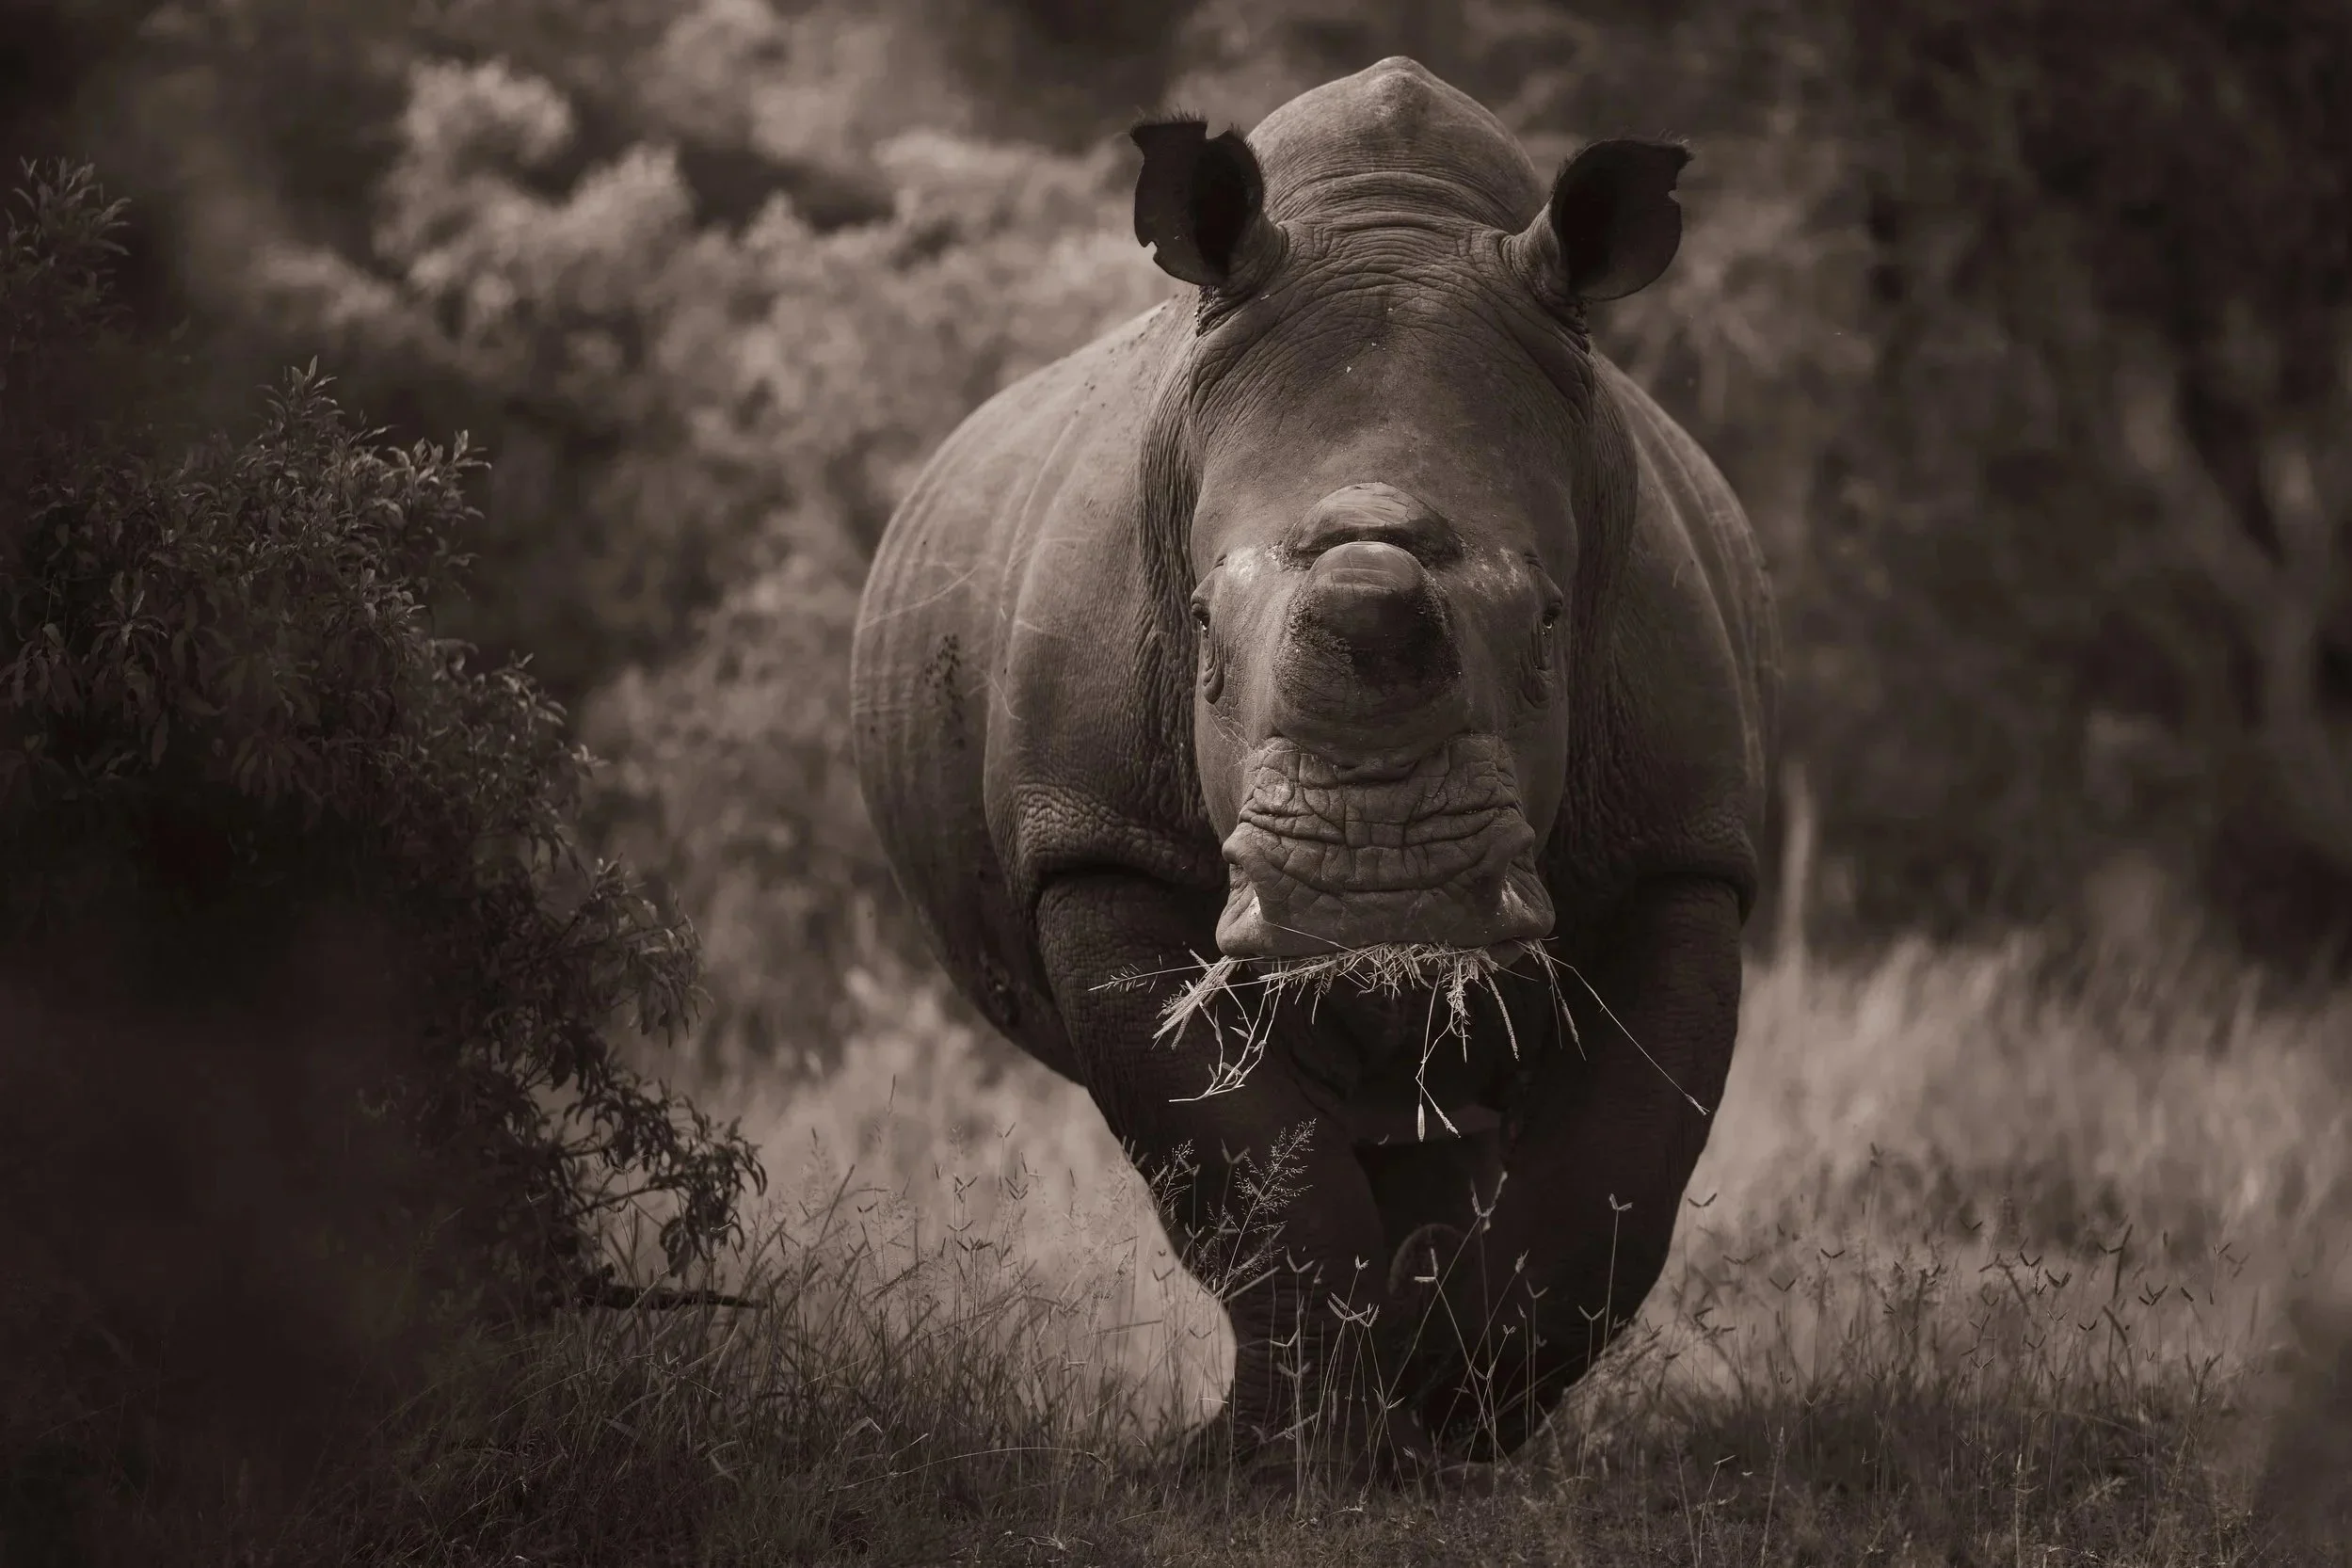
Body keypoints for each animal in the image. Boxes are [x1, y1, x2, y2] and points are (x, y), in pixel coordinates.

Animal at [850, 57, 1776, 1483]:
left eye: (1551, 625)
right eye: (1199, 629)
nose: (1374, 895)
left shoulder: (1681, 846)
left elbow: (1615, 1175)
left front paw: (1449, 1425)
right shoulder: (1095, 840)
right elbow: (1246, 1176)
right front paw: (1270, 1462)